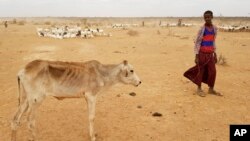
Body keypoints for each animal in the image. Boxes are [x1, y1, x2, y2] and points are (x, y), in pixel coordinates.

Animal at [10, 59, 142, 141]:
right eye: (131, 70)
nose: (139, 82)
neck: (103, 73)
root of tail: (22, 71)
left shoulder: (87, 98)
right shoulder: (91, 96)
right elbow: (92, 117)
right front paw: (93, 137)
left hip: (25, 100)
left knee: (15, 120)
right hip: (36, 100)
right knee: (30, 121)